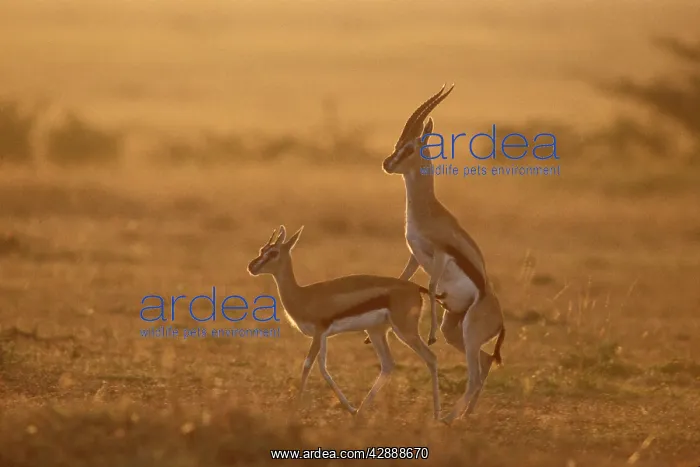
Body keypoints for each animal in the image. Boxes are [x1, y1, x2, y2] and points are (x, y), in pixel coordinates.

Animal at [246, 225, 441, 419]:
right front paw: (350, 409)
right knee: (388, 364)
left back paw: (437, 416)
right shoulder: (323, 336)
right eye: (262, 250)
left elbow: (308, 365)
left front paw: (294, 409)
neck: (304, 296)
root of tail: (416, 287)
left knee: (431, 357)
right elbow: (323, 369)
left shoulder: (319, 333)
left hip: (404, 330)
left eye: (274, 252)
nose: (251, 267)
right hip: (376, 331)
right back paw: (360, 412)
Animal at [379, 84, 506, 425]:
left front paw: (430, 334)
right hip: (457, 331)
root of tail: (500, 320)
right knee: (485, 363)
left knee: (475, 374)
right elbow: (401, 279)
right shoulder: (414, 255)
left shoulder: (439, 255)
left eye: (410, 147)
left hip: (470, 333)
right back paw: (466, 416)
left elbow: (433, 285)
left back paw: (449, 418)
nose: (387, 163)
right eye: (398, 143)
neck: (428, 211)